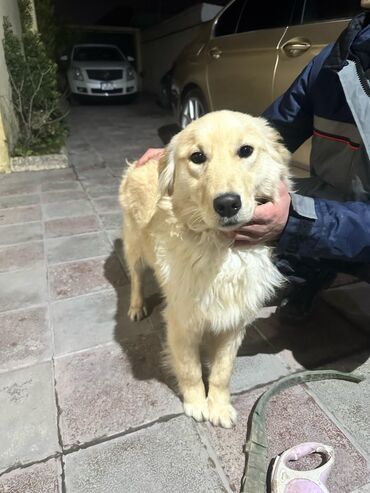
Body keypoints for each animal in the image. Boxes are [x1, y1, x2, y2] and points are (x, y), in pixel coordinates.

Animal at [120, 110, 290, 426]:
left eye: (245, 150)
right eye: (197, 157)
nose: (227, 204)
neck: (221, 249)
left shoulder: (234, 323)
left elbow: (222, 372)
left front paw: (219, 406)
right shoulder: (181, 320)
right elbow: (190, 369)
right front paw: (197, 403)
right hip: (133, 245)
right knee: (136, 276)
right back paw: (136, 306)